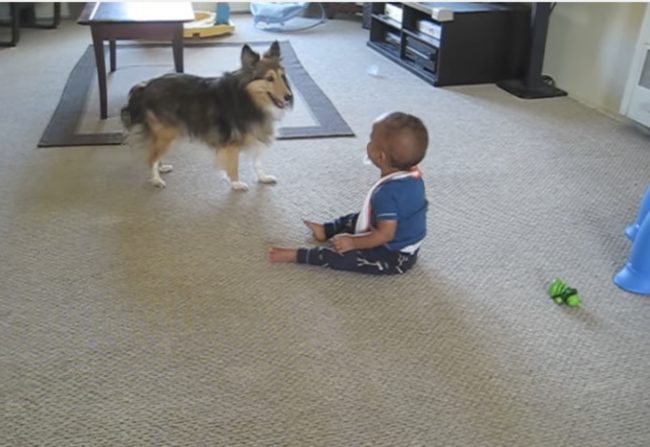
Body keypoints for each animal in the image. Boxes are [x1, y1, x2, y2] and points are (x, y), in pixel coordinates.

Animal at [120, 39, 292, 191]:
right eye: (269, 78)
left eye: (282, 76)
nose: (289, 97)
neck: (247, 98)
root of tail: (145, 86)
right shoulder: (232, 142)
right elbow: (233, 163)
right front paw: (236, 184)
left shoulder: (255, 135)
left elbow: (257, 162)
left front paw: (263, 178)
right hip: (166, 132)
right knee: (151, 158)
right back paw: (157, 180)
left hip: (164, 134)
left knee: (154, 153)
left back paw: (162, 168)